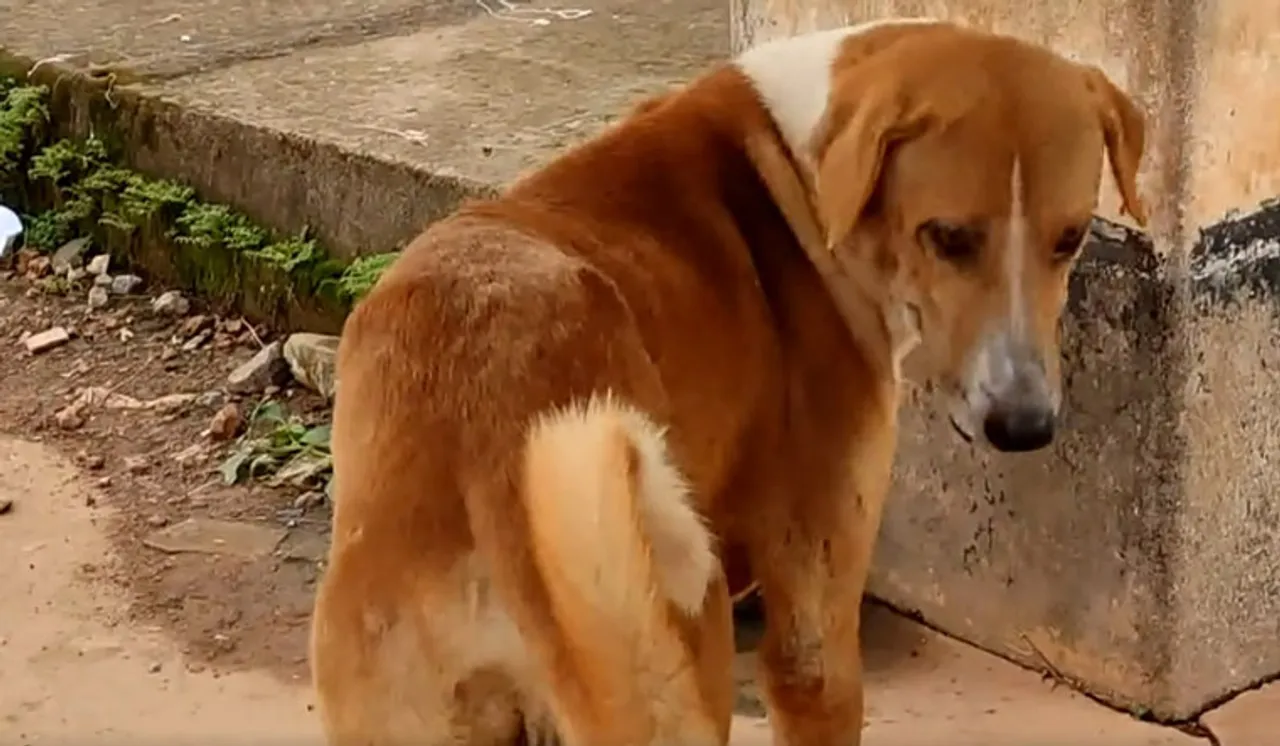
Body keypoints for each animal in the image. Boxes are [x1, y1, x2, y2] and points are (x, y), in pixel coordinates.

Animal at [312, 17, 1152, 746]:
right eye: (947, 238)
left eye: (1070, 238)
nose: (1026, 427)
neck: (811, 171)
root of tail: (484, 442)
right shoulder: (814, 631)